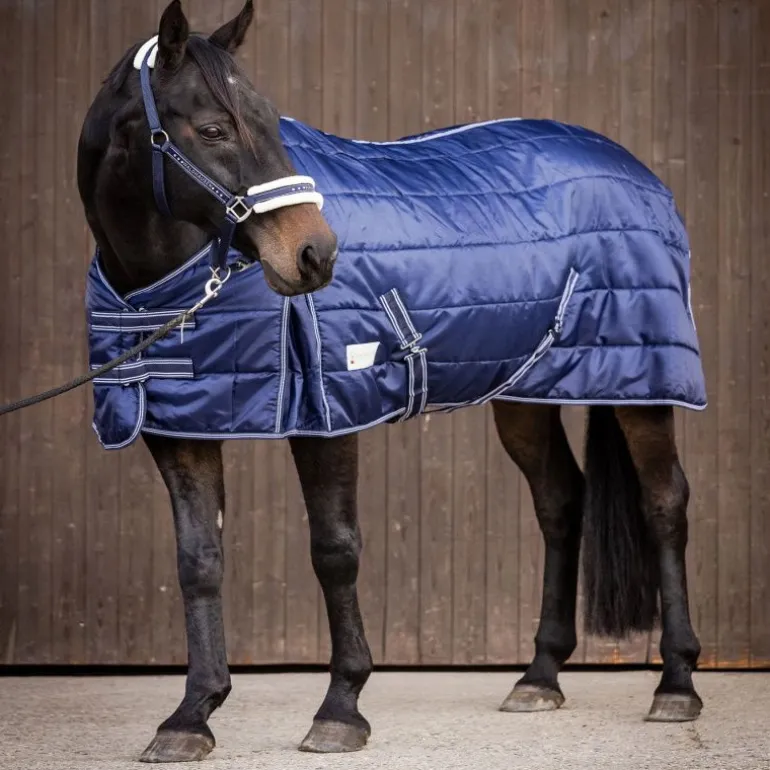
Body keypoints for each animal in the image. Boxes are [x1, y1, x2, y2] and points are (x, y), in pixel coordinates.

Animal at [78, 0, 705, 762]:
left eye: (270, 120)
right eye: (213, 128)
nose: (315, 255)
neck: (170, 286)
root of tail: (633, 168)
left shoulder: (328, 416)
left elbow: (334, 550)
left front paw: (341, 708)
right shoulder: (179, 426)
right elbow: (198, 562)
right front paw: (190, 716)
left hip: (644, 385)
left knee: (664, 504)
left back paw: (676, 684)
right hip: (524, 394)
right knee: (560, 500)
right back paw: (539, 676)